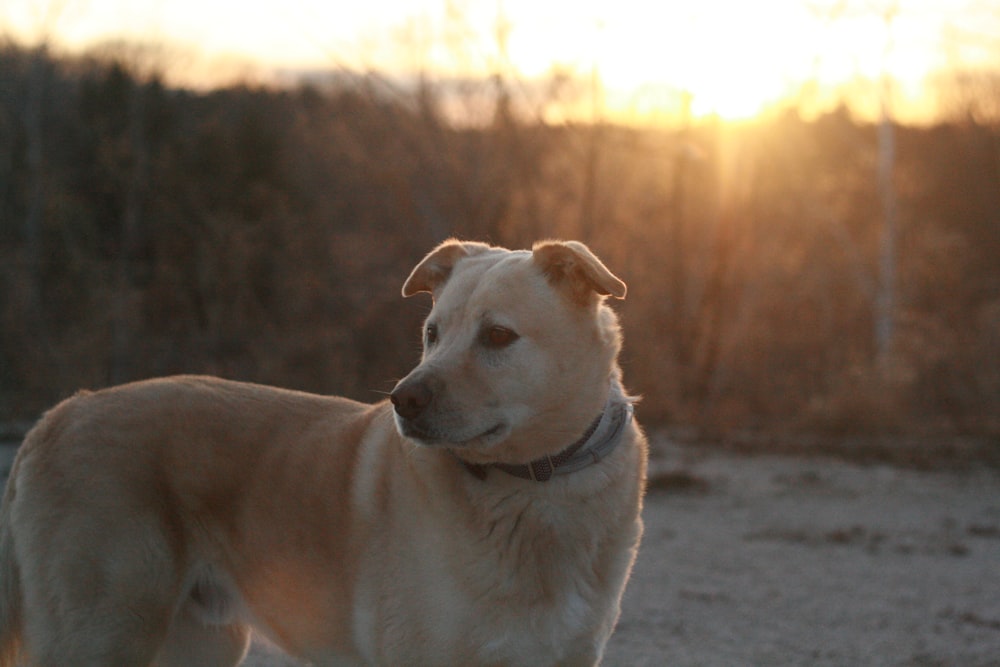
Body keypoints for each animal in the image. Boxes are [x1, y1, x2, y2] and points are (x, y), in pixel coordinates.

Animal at [0, 241, 648, 667]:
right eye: (432, 333)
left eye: (497, 336)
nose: (403, 399)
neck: (540, 483)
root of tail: (57, 415)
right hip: (102, 637)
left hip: (198, 644)